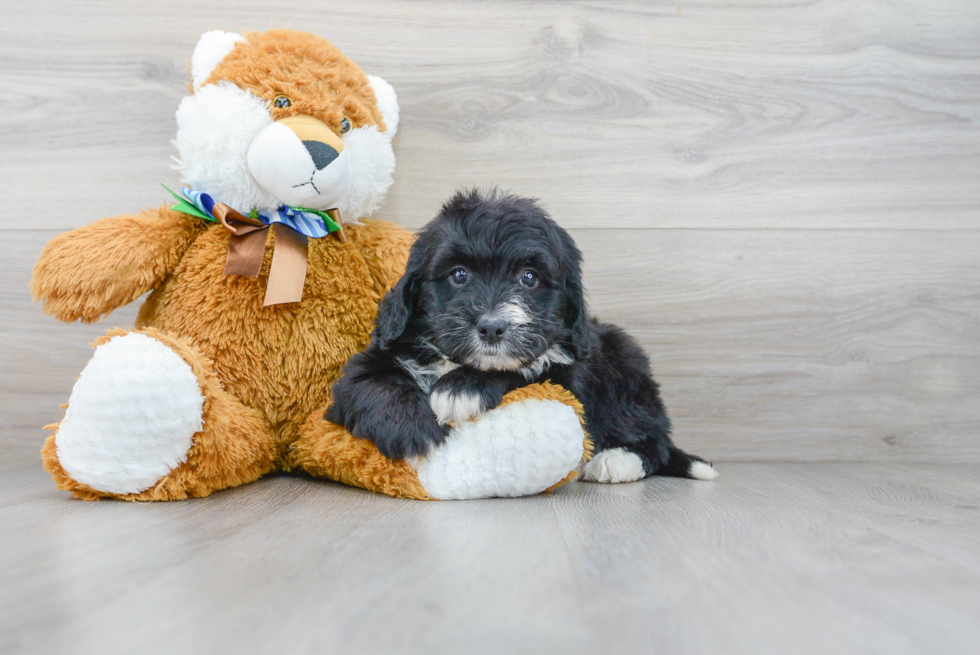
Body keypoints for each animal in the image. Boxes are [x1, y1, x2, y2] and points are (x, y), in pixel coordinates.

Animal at [326, 188, 716, 482]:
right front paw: (413, 429)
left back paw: (617, 460)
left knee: (654, 438)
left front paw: (464, 387)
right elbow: (366, 382)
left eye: (529, 278)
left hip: (625, 364)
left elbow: (530, 368)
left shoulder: (569, 375)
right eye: (458, 275)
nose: (491, 327)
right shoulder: (373, 358)